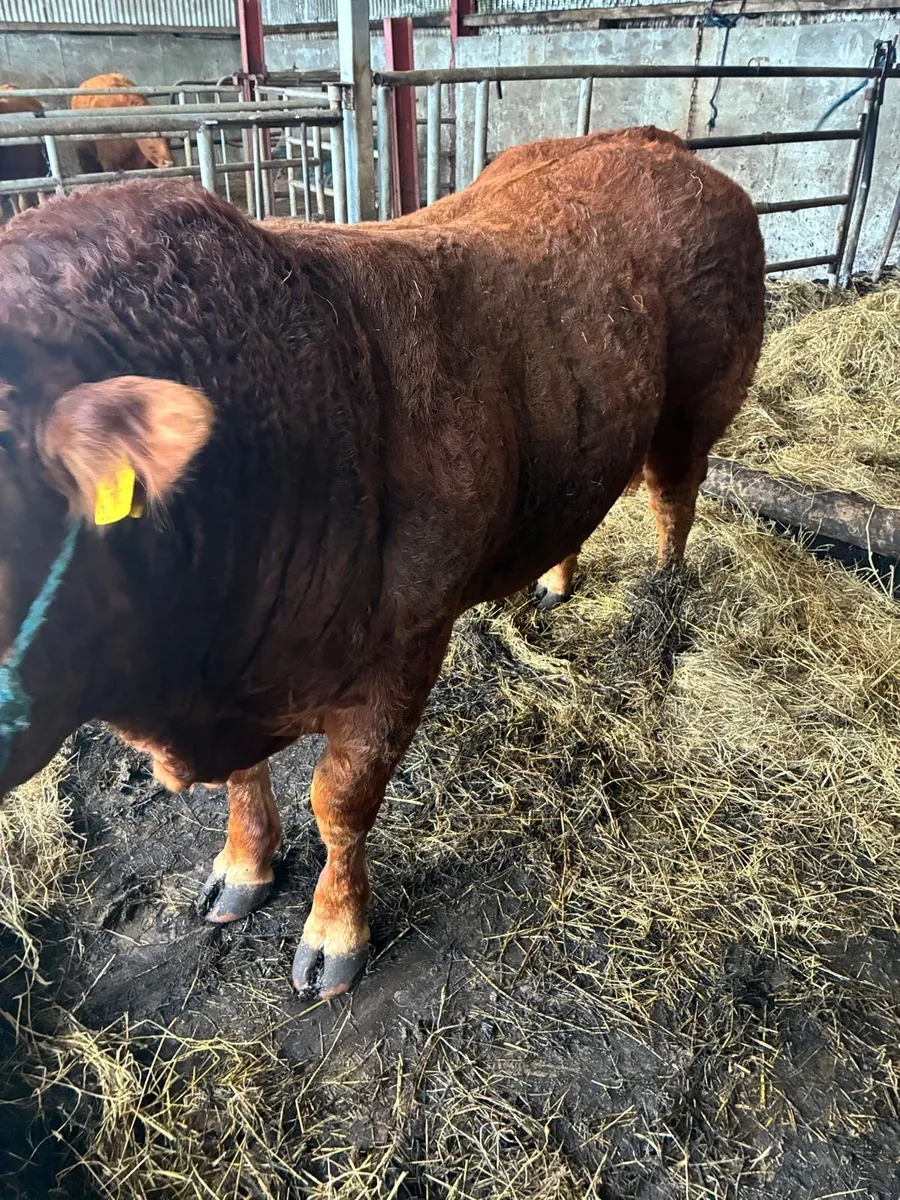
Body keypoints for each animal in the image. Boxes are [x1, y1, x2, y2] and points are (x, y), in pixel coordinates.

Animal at [0, 127, 765, 1000]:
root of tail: (662, 146)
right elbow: (246, 785)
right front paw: (242, 866)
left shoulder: (404, 648)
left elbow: (341, 802)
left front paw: (335, 935)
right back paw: (554, 579)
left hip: (697, 406)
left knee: (674, 497)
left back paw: (663, 601)